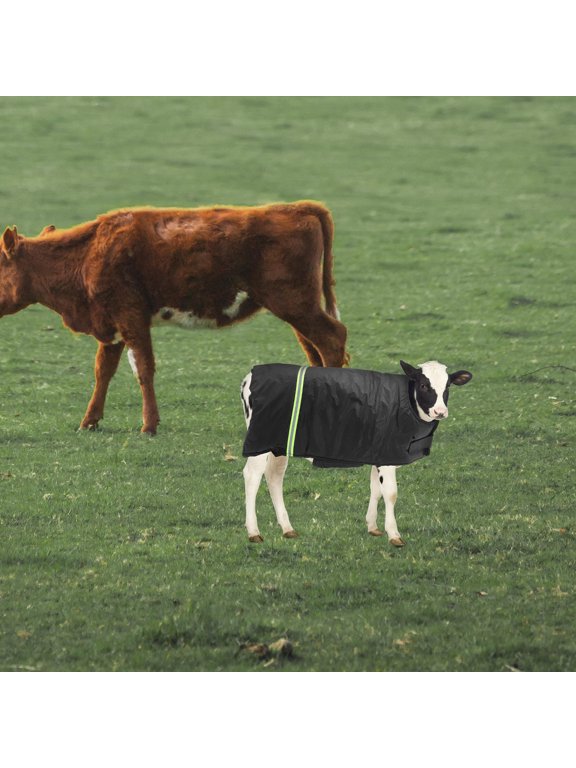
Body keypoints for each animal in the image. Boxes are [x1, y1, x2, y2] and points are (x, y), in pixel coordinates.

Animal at [0, 202, 348, 434]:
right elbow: (103, 372)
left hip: (295, 304)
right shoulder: (110, 325)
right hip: (297, 309)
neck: (88, 254)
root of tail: (296, 208)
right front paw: (90, 421)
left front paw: (149, 425)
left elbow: (143, 370)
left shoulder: (131, 317)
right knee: (314, 350)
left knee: (332, 339)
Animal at [240, 360, 472, 545]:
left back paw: (287, 529)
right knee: (252, 476)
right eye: (424, 385)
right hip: (259, 440)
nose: (440, 412)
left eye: (447, 386)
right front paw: (394, 535)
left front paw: (373, 527)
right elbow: (391, 493)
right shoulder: (387, 456)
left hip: (277, 445)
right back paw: (253, 532)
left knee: (274, 477)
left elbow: (376, 489)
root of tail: (251, 374)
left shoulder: (378, 453)